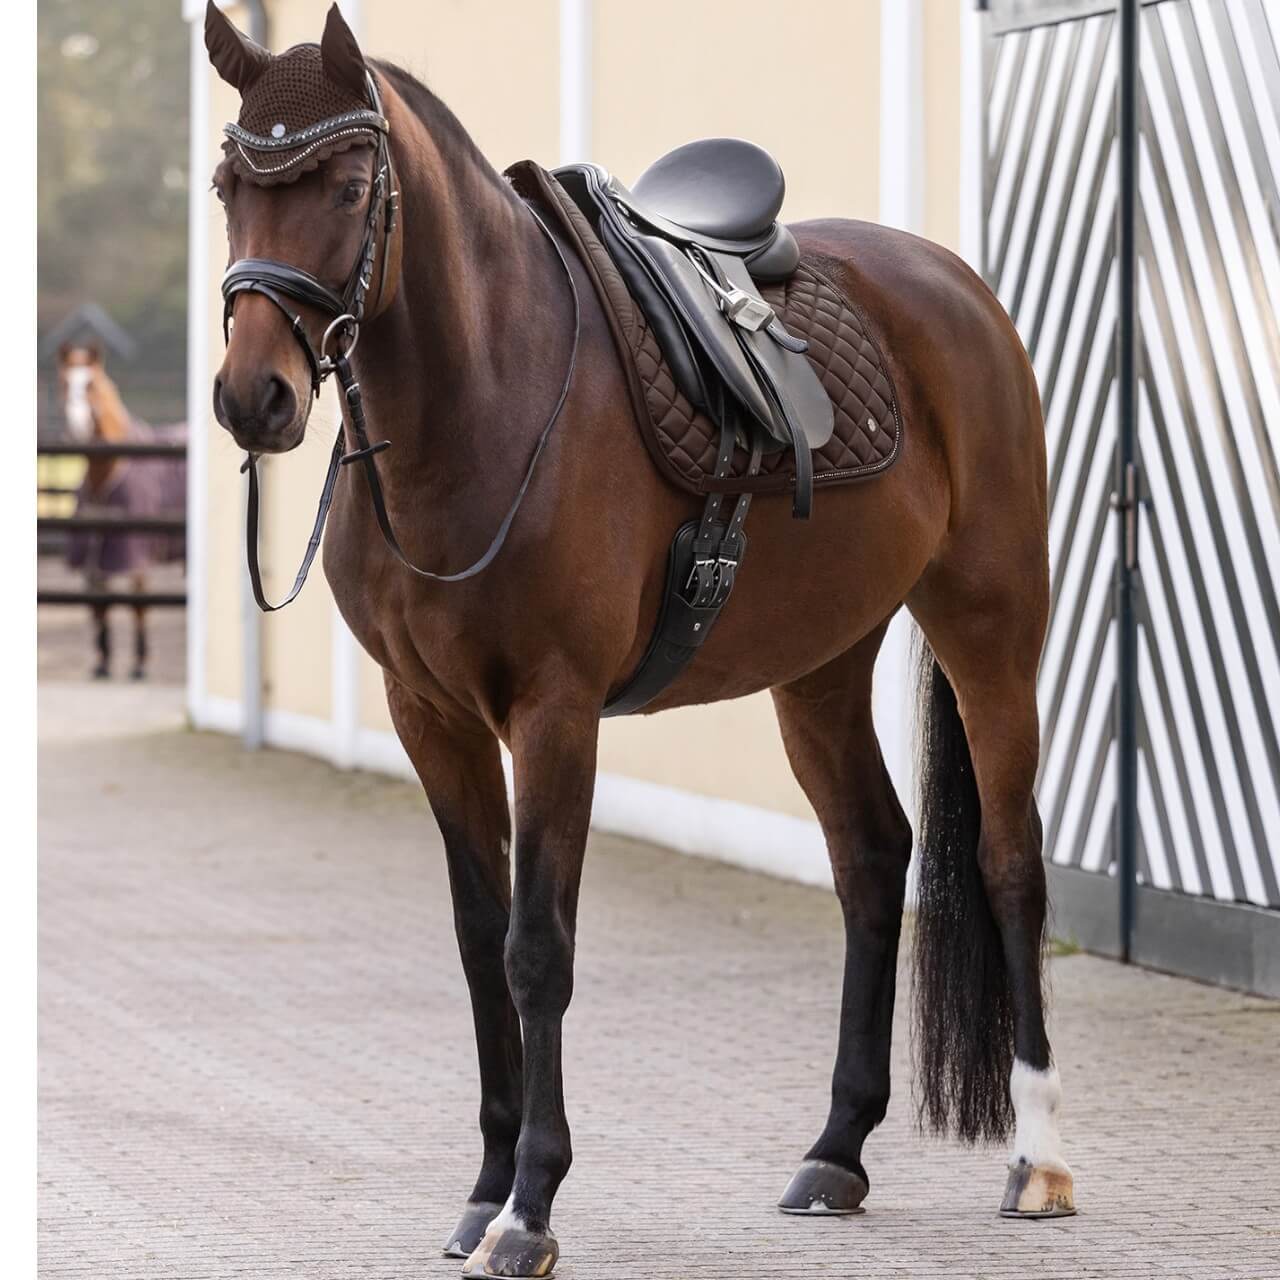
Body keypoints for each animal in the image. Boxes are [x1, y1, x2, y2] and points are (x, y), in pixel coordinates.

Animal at [56, 343, 186, 680]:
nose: (76, 428)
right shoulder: (95, 551)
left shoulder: (133, 550)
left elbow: (138, 605)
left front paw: (140, 664)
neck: (107, 469)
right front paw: (103, 662)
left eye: (91, 384)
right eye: (64, 382)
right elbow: (100, 604)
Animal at [205, 5, 1074, 1275]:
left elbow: (536, 946)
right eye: (230, 185)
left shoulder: (553, 715)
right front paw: (482, 1189)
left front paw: (529, 1207)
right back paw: (834, 1151)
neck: (486, 400)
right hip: (818, 666)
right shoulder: (431, 718)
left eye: (353, 183)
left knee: (1008, 863)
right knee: (871, 857)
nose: (251, 397)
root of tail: (956, 287)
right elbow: (477, 939)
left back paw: (1040, 1157)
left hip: (990, 623)